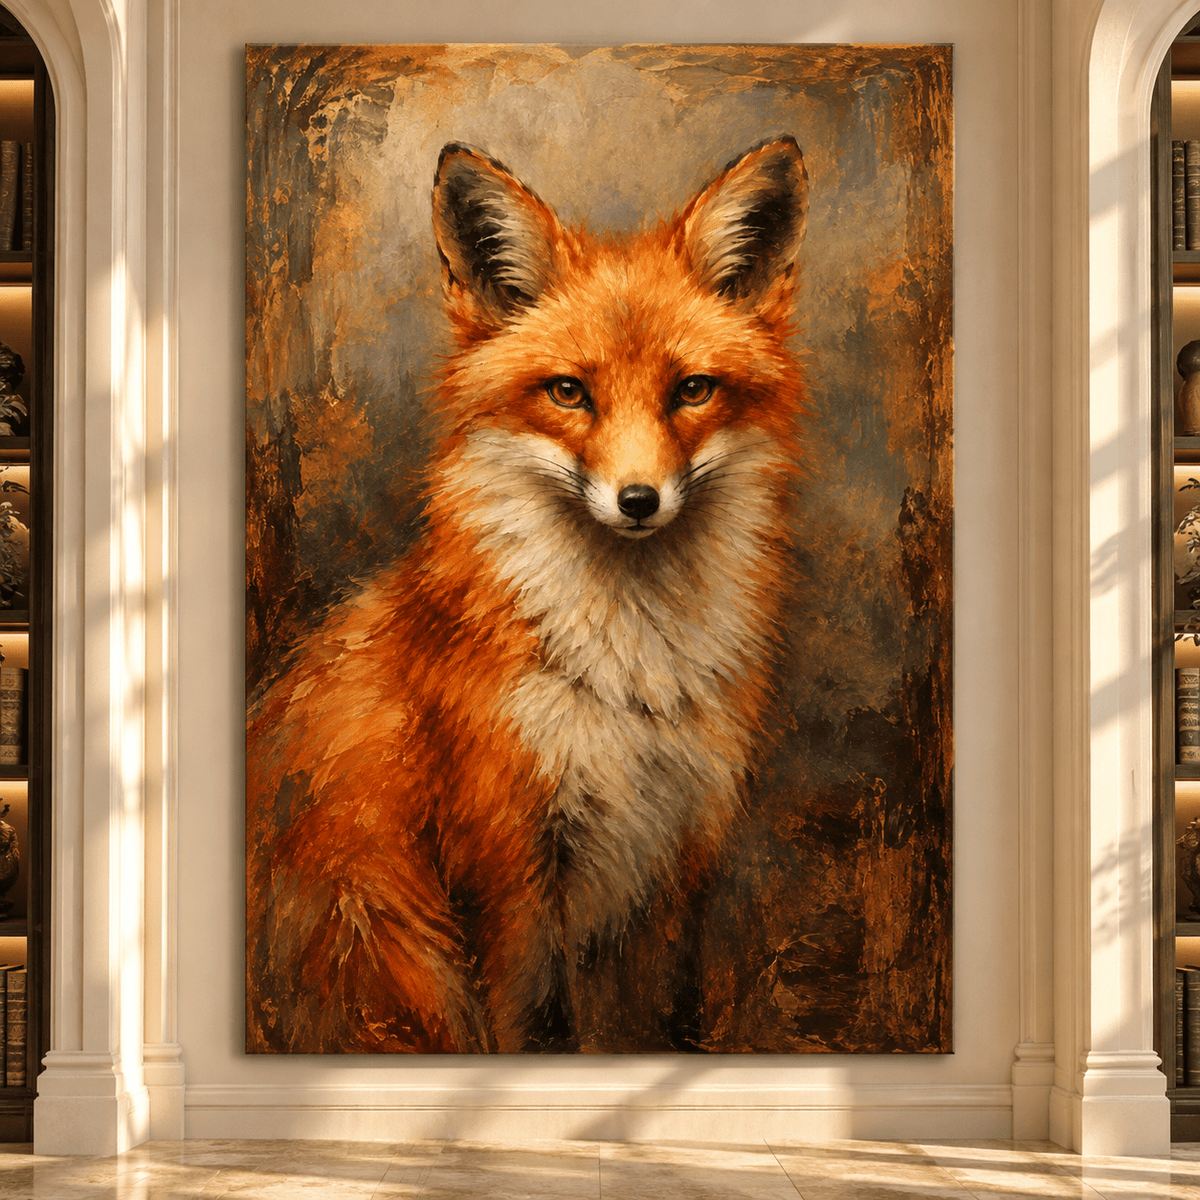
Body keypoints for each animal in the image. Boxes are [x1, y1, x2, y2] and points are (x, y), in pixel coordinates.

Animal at [246, 136, 810, 1054]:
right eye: (569, 392)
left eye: (691, 390)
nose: (639, 500)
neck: (629, 684)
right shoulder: (506, 878)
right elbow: (524, 1034)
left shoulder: (665, 870)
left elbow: (642, 1033)